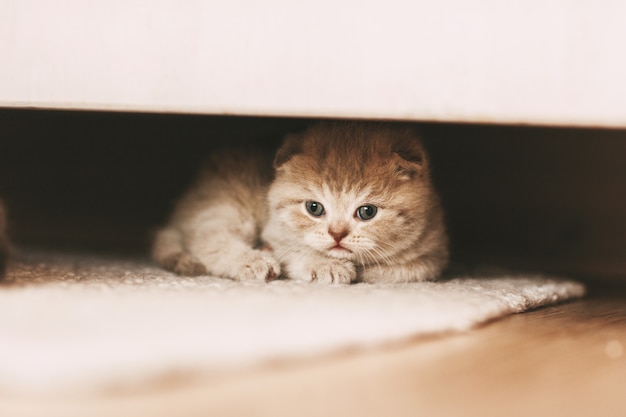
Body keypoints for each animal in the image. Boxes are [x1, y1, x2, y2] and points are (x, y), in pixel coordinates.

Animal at [153, 120, 446, 282]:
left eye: (367, 212)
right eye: (314, 208)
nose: (337, 234)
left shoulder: (434, 253)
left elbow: (408, 269)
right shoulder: (275, 230)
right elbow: (296, 250)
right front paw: (325, 265)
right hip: (228, 206)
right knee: (208, 240)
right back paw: (253, 260)